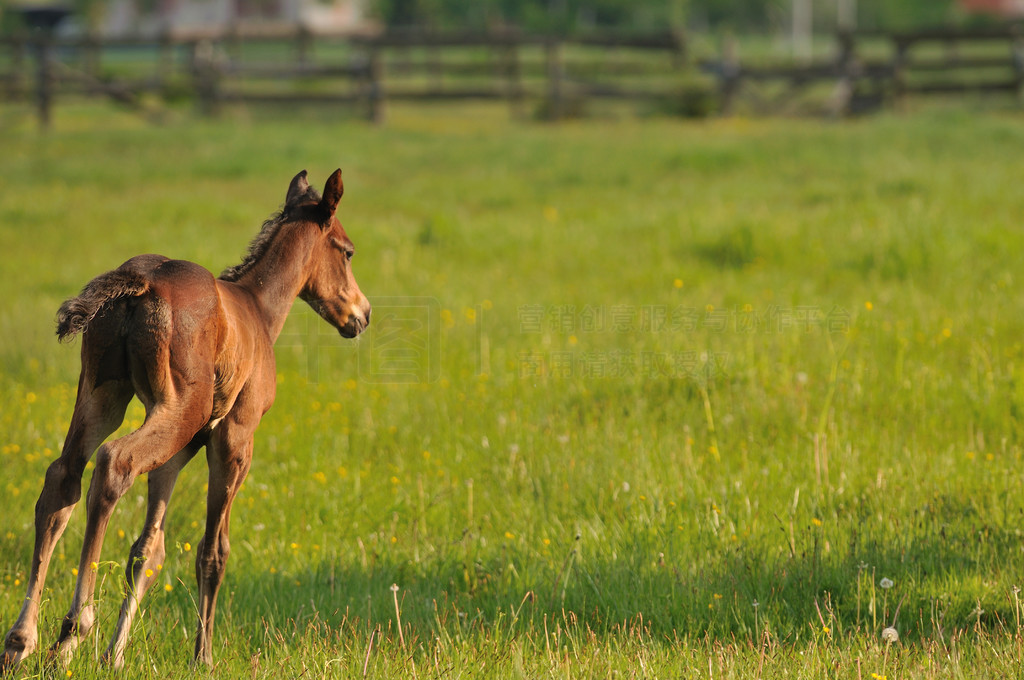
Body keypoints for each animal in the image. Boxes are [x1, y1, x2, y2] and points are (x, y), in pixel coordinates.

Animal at [2, 170, 370, 667]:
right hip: (176, 409)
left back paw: (21, 640)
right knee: (114, 463)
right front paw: (203, 657)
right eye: (347, 251)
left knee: (64, 478)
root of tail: (140, 282)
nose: (362, 314)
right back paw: (73, 629)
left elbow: (148, 550)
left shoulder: (180, 453)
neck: (258, 310)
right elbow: (213, 551)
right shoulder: (234, 439)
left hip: (104, 395)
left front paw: (115, 657)